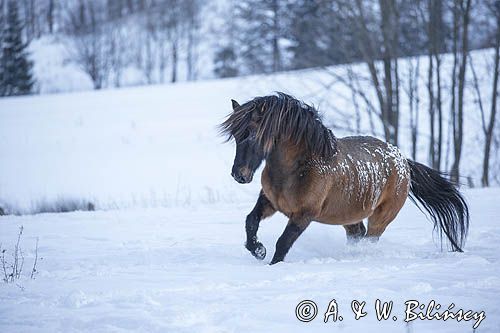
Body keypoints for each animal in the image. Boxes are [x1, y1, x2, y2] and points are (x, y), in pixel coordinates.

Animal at [219, 92, 468, 264]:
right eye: (235, 136)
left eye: (253, 135)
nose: (239, 175)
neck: (296, 170)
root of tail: (403, 161)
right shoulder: (270, 202)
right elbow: (250, 221)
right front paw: (258, 250)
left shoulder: (303, 215)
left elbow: (283, 243)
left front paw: (272, 264)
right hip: (349, 217)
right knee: (358, 234)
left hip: (381, 218)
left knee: (369, 239)